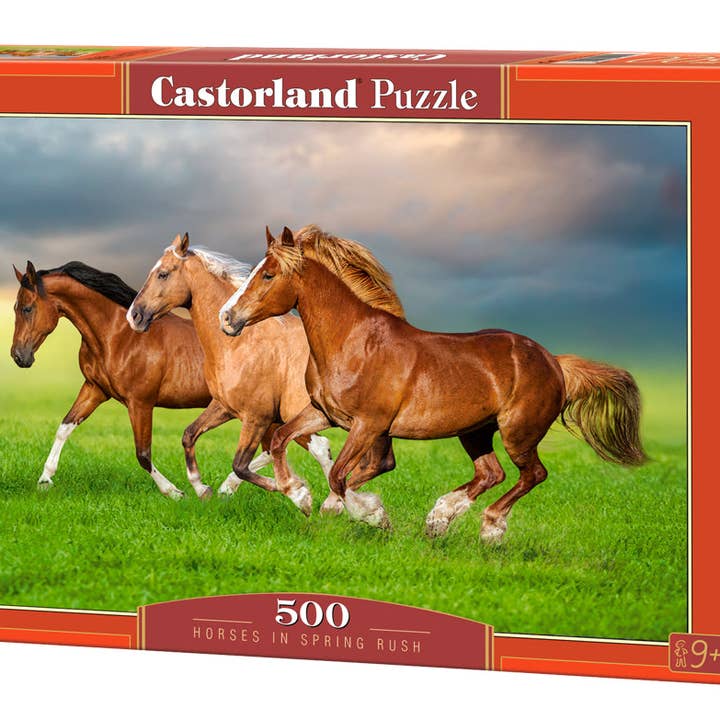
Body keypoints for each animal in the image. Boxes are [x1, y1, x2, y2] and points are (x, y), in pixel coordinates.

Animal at [10, 260, 216, 499]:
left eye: (27, 308)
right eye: (15, 307)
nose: (18, 356)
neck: (119, 337)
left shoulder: (140, 403)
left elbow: (143, 454)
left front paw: (174, 492)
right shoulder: (95, 389)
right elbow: (64, 428)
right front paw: (45, 480)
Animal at [126, 232, 344, 515]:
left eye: (163, 274)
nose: (134, 315)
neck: (239, 343)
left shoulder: (257, 417)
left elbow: (240, 464)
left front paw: (299, 494)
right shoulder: (225, 407)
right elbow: (189, 435)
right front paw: (202, 489)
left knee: (325, 450)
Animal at [219, 225, 647, 542]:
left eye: (268, 274)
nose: (227, 318)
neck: (353, 342)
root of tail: (554, 362)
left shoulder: (369, 424)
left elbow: (341, 475)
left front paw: (370, 514)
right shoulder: (325, 414)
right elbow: (282, 440)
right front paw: (301, 495)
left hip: (518, 432)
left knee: (532, 475)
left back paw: (490, 528)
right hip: (475, 431)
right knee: (491, 473)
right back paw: (438, 519)